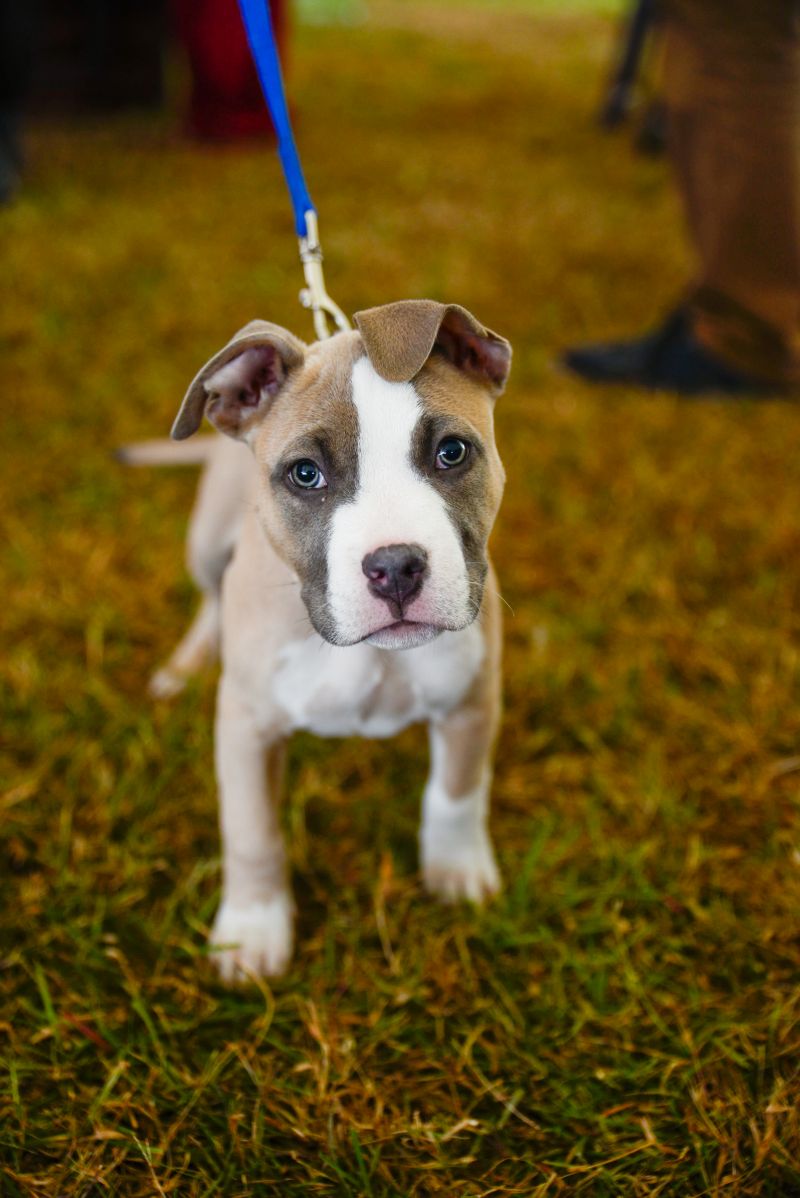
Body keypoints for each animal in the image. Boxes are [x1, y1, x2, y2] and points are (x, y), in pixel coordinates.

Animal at [150, 301, 512, 982]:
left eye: (452, 452)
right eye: (305, 475)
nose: (395, 566)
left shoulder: (471, 699)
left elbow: (456, 796)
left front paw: (455, 873)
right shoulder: (245, 724)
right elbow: (252, 833)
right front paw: (252, 931)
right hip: (206, 543)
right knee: (209, 598)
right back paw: (183, 666)